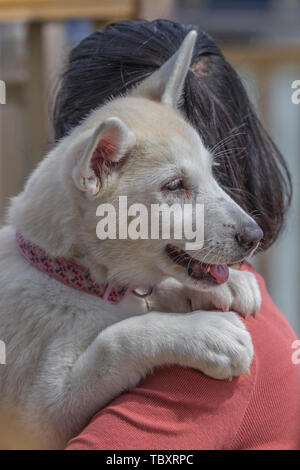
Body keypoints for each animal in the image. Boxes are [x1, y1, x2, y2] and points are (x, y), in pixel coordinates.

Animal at [0, 32, 262, 448]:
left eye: (212, 172)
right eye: (174, 186)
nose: (255, 236)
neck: (73, 276)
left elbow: (156, 290)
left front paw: (232, 284)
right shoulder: (38, 416)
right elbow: (116, 340)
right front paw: (206, 333)